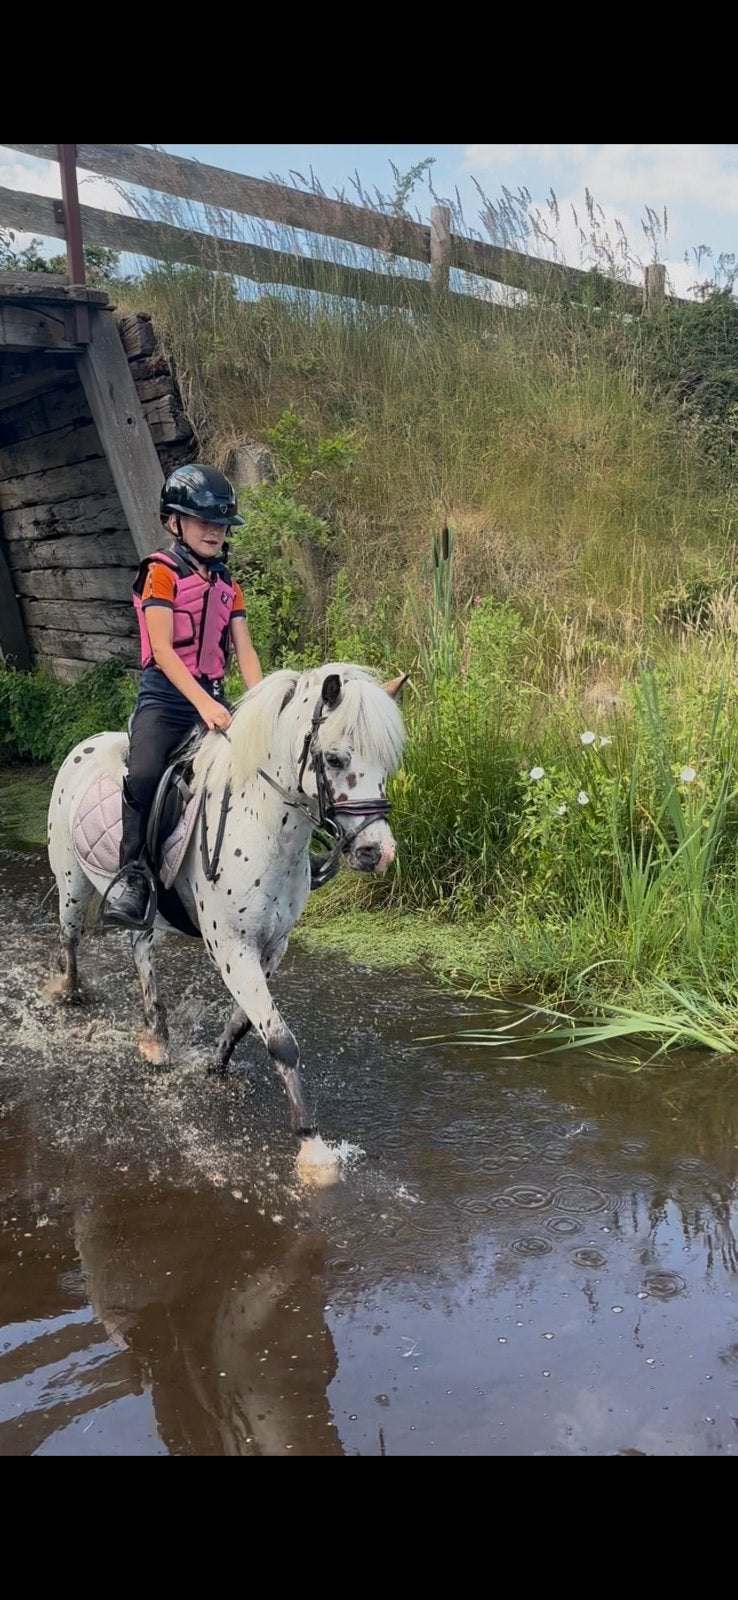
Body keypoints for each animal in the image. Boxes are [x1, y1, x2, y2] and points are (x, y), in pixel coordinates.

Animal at [46, 664, 407, 1184]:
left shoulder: (272, 945)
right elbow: (281, 1040)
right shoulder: (233, 948)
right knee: (70, 943)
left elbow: (243, 1022)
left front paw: (216, 1065)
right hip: (73, 886)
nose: (376, 852)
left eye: (387, 763)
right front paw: (312, 1148)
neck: (262, 826)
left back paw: (157, 1037)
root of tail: (85, 745)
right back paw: (68, 994)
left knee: (140, 950)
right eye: (335, 758)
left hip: (144, 910)